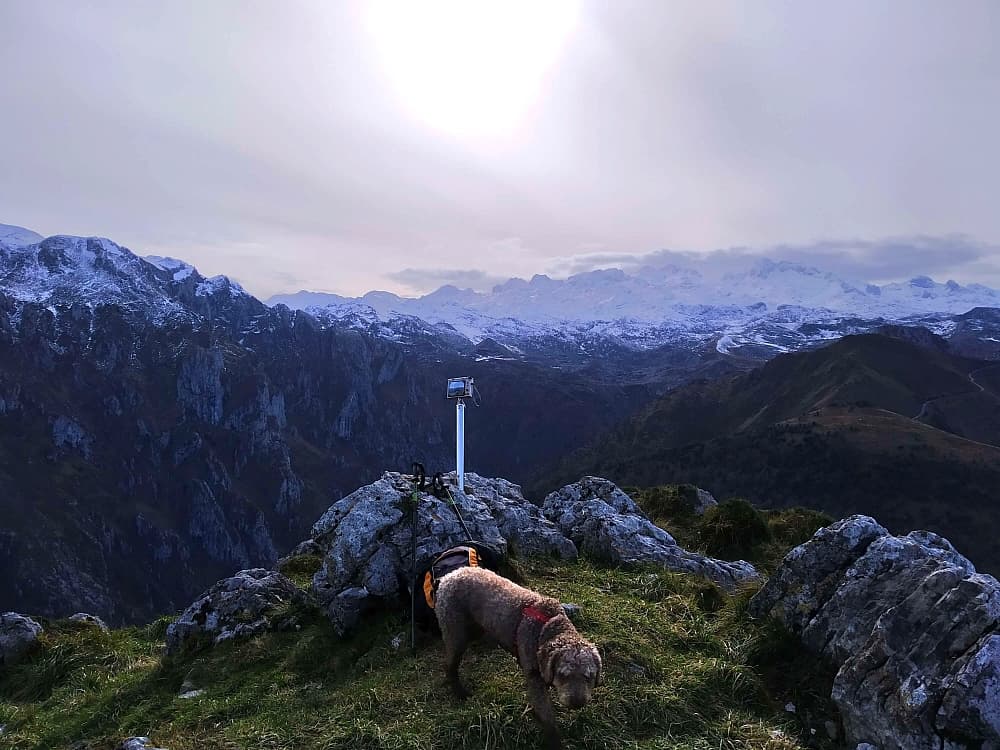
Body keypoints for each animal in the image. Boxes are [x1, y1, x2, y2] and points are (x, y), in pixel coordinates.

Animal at [432, 568, 600, 748]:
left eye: (589, 676)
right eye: (563, 675)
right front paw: (555, 741)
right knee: (450, 664)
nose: (577, 703)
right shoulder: (535, 678)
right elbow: (547, 716)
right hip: (455, 633)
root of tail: (448, 577)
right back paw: (459, 691)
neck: (547, 627)